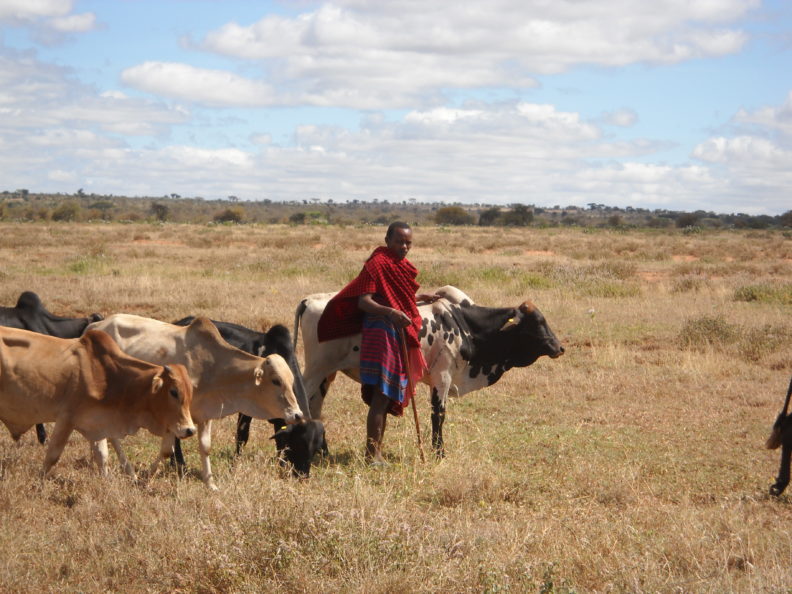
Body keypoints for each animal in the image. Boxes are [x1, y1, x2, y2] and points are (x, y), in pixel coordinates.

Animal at [0, 327, 195, 478]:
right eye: (173, 392)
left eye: (190, 393)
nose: (190, 430)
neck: (107, 375)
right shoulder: (66, 418)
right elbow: (52, 456)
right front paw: (38, 483)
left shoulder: (98, 422)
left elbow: (103, 455)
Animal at [87, 314, 303, 489]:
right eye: (276, 381)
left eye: (291, 380)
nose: (297, 414)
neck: (211, 367)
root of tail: (95, 325)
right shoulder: (173, 415)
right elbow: (167, 450)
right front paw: (146, 477)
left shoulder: (205, 415)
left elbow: (205, 447)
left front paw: (210, 484)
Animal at [294, 285, 564, 457]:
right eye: (537, 322)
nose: (559, 347)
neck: (464, 324)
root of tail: (309, 300)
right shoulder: (442, 377)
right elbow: (438, 415)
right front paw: (439, 453)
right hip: (316, 370)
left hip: (327, 374)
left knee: (315, 406)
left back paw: (323, 451)